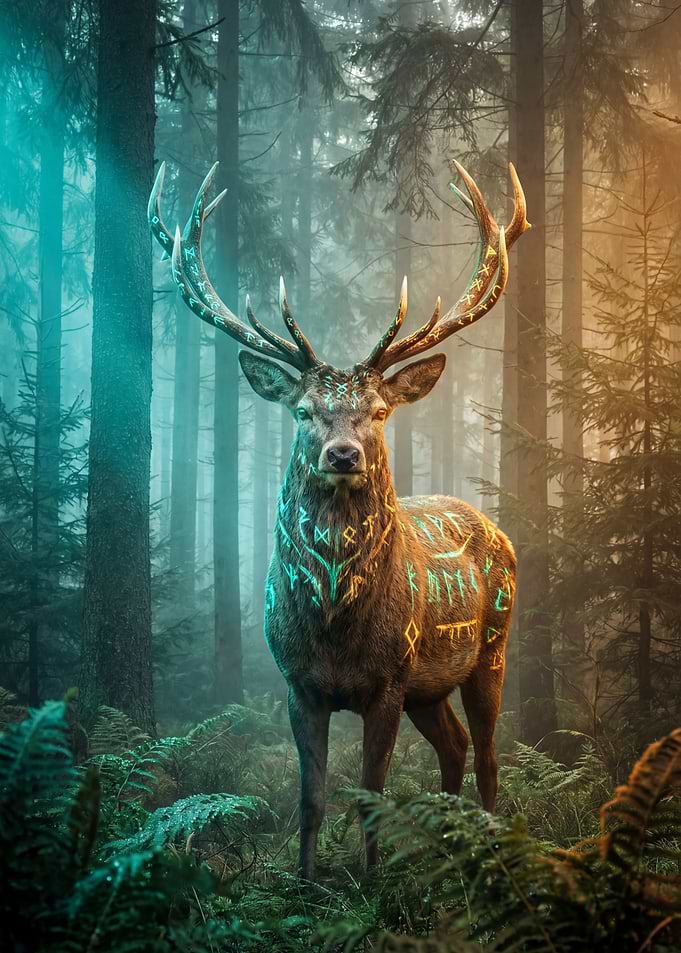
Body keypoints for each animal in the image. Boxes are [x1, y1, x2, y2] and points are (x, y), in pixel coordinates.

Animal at [149, 158, 530, 880]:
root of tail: (496, 527)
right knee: (455, 746)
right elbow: (311, 797)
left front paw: (371, 882)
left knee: (492, 756)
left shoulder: (389, 679)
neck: (334, 624)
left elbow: (371, 792)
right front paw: (306, 880)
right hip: (430, 688)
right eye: (303, 410)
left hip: (489, 648)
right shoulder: (298, 684)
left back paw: (488, 854)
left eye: (378, 410)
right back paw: (446, 849)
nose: (343, 453)